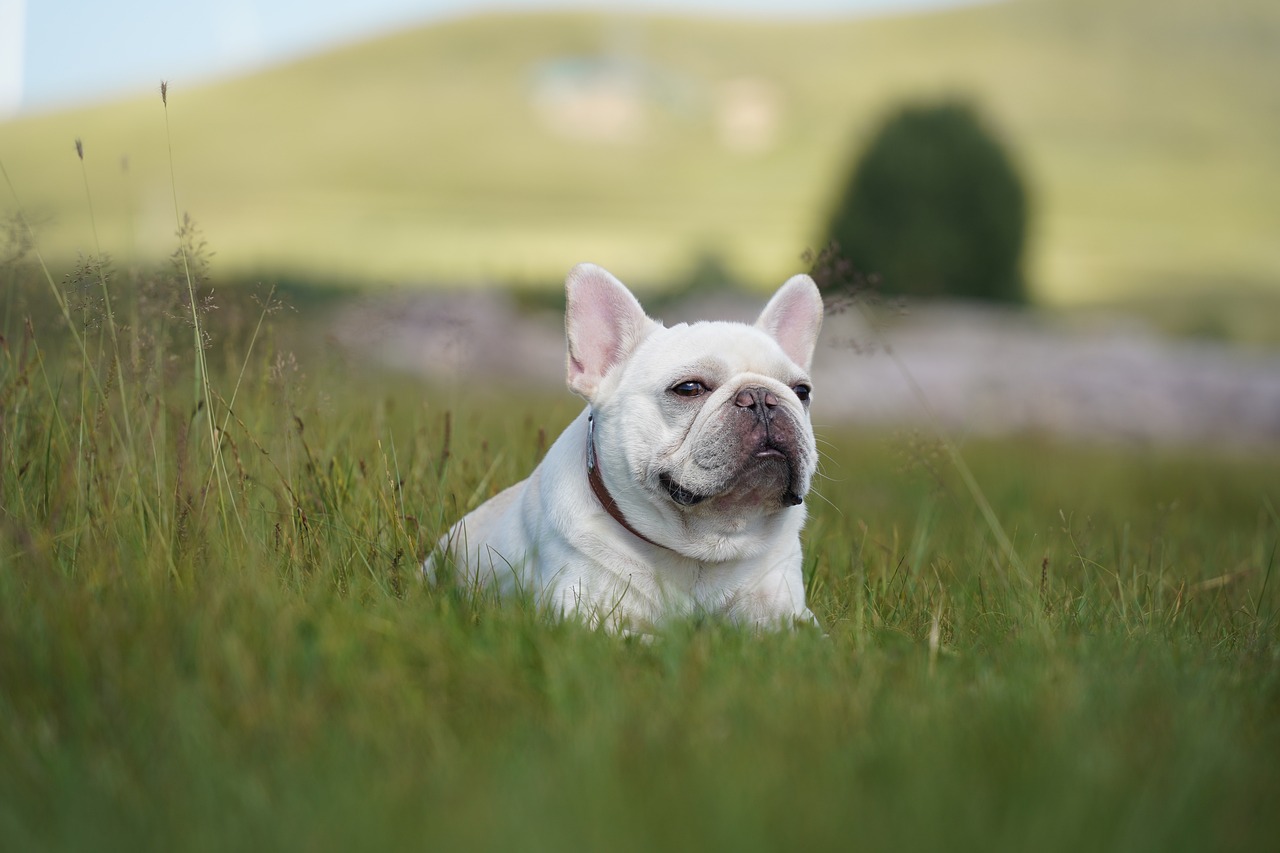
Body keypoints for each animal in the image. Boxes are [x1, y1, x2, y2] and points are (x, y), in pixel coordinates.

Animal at [430, 262, 824, 627]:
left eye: (802, 391)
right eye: (689, 388)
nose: (761, 397)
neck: (707, 546)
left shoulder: (789, 613)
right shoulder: (585, 617)